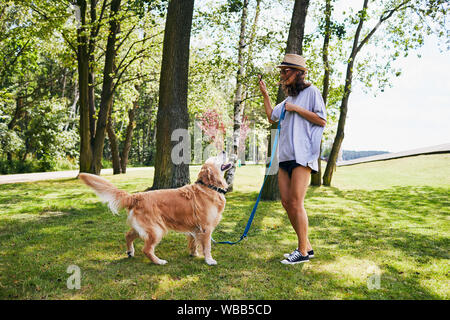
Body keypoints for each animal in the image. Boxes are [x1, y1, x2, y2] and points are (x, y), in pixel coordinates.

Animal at [78, 152, 232, 264]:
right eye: (216, 157)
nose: (224, 151)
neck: (209, 187)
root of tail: (136, 196)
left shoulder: (195, 228)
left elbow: (194, 242)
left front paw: (194, 254)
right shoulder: (206, 228)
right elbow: (207, 246)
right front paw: (209, 260)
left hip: (144, 228)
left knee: (128, 235)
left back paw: (130, 252)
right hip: (157, 229)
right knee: (146, 249)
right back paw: (159, 261)